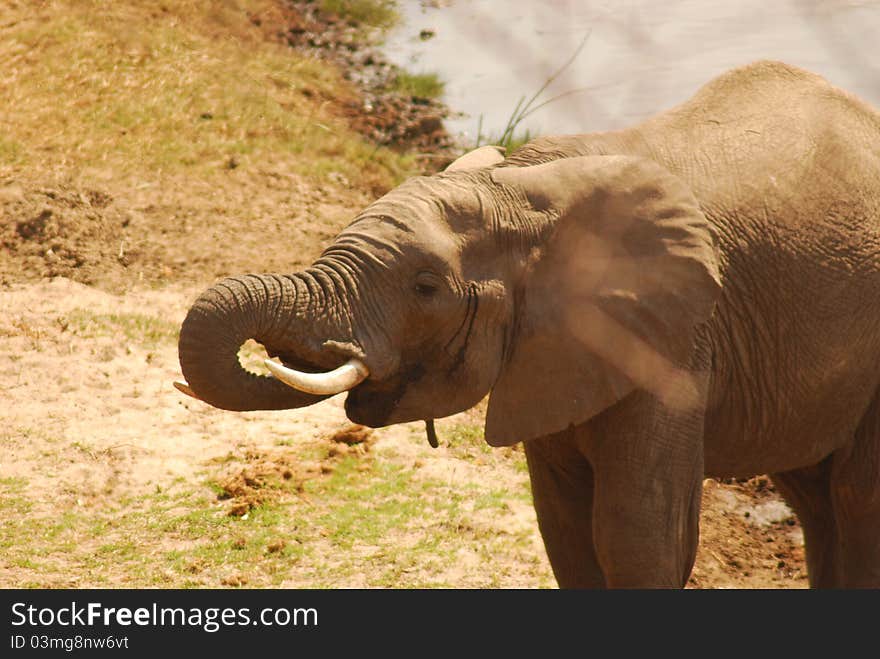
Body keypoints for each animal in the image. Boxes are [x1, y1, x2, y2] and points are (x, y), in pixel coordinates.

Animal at [175, 60, 880, 588]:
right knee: (816, 498)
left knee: (855, 500)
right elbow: (565, 531)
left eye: (425, 287)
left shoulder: (678, 342)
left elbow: (639, 534)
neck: (517, 184)